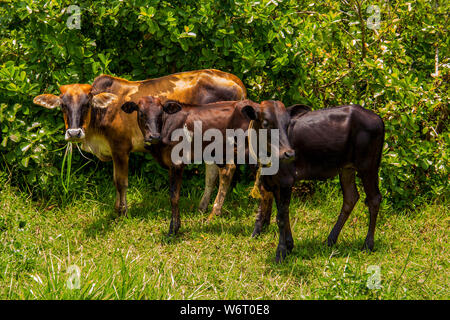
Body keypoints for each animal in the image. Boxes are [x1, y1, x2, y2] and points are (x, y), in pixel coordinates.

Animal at [33, 69, 246, 216]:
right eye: (63, 105)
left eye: (87, 104)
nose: (74, 132)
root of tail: (236, 82)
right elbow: (115, 181)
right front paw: (117, 208)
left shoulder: (120, 148)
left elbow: (121, 182)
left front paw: (122, 212)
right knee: (212, 173)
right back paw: (202, 207)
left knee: (227, 170)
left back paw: (214, 212)